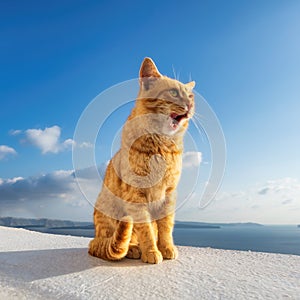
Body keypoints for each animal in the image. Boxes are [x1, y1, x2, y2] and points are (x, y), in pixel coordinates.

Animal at [88, 57, 196, 264]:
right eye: (173, 93)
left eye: (191, 96)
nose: (190, 106)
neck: (161, 146)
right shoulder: (136, 195)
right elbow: (145, 229)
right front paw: (152, 251)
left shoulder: (169, 193)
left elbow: (165, 227)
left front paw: (167, 247)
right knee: (118, 239)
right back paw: (132, 248)